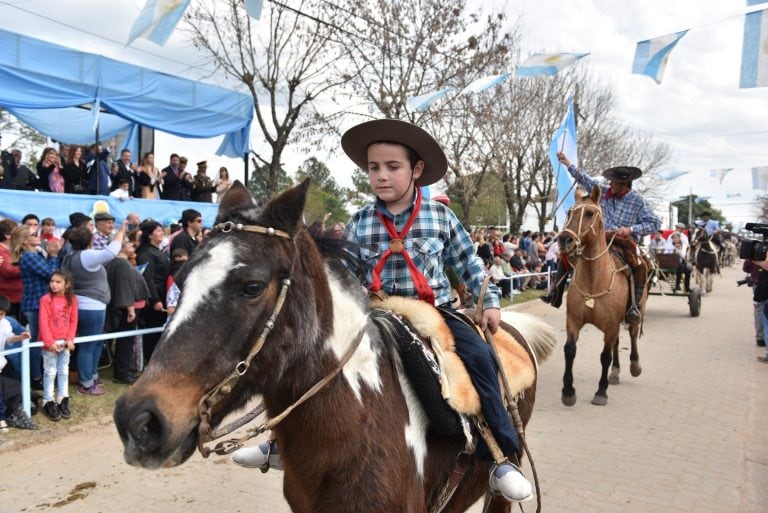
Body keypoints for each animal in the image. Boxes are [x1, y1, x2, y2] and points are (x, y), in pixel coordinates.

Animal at [556, 186, 644, 406]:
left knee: (632, 334)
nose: (564, 240)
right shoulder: (573, 321)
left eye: (589, 213)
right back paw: (615, 372)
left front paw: (601, 392)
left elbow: (605, 356)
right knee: (618, 344)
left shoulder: (611, 325)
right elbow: (570, 350)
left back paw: (634, 366)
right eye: (569, 212)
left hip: (635, 313)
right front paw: (568, 391)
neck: (594, 281)